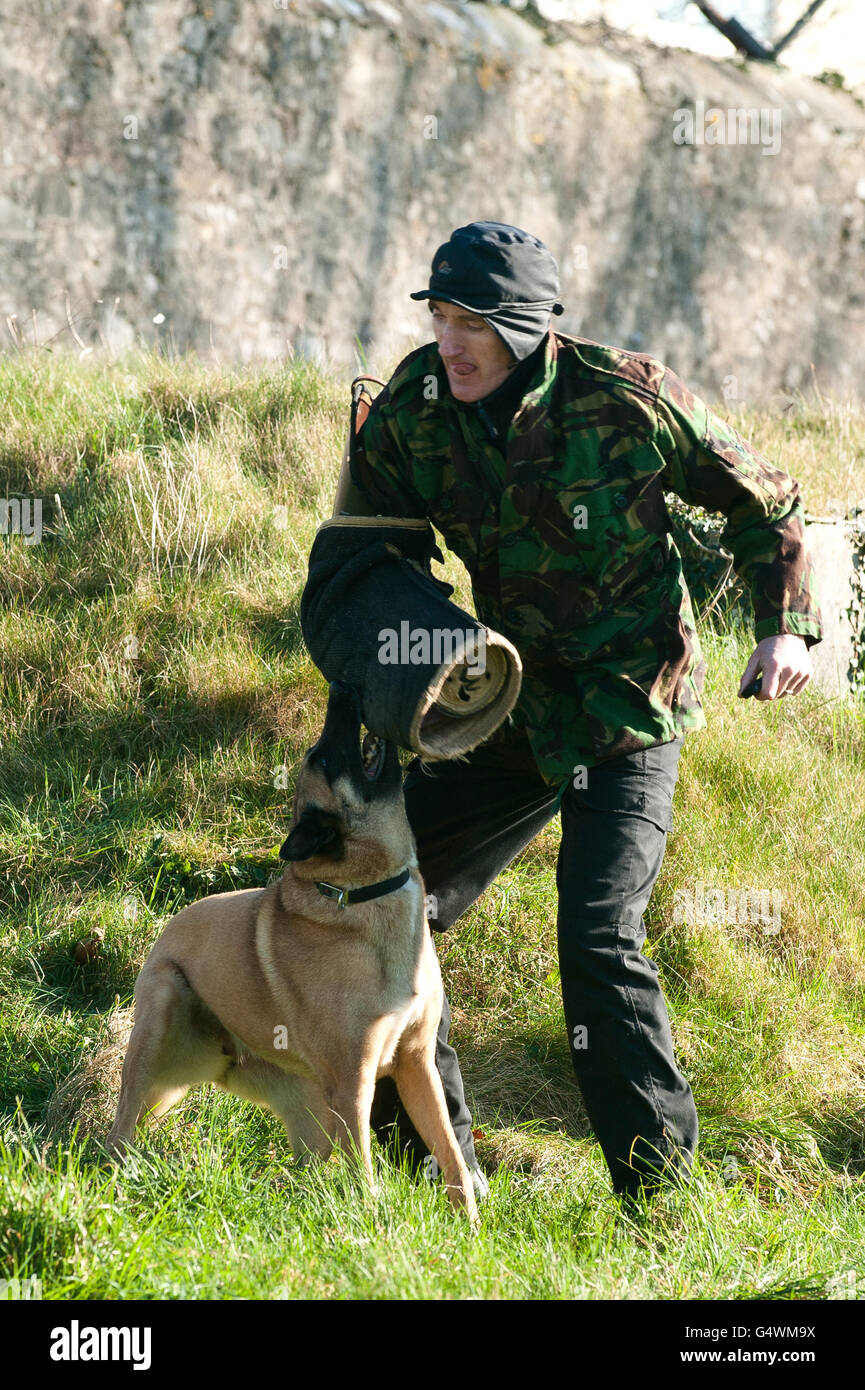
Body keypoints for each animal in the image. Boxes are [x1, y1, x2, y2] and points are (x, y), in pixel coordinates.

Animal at [108, 678, 481, 1223]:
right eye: (323, 759)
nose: (344, 689)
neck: (362, 893)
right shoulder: (353, 1082)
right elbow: (365, 1169)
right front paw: (374, 1222)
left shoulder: (417, 1063)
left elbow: (450, 1152)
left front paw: (467, 1222)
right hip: (161, 1013)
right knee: (121, 1128)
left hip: (312, 1115)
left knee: (306, 1168)